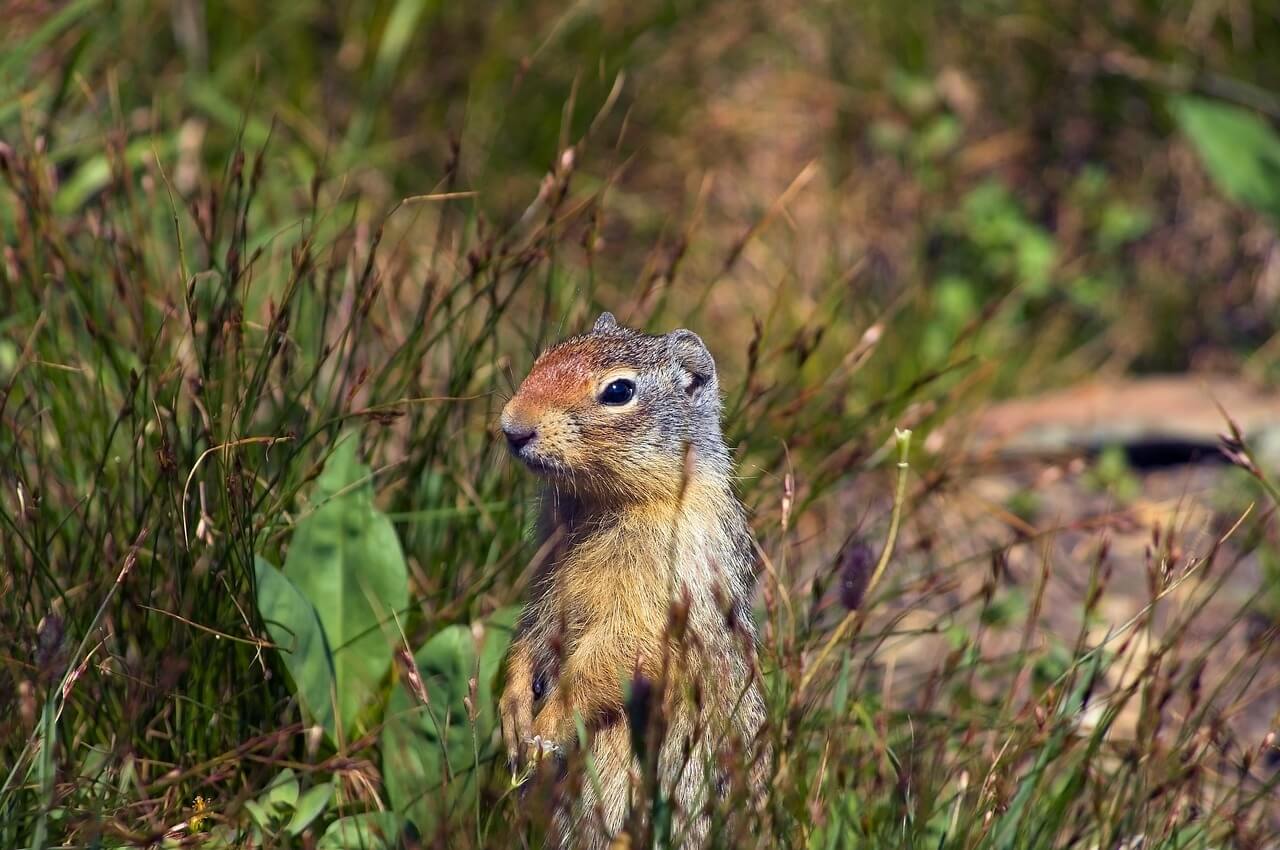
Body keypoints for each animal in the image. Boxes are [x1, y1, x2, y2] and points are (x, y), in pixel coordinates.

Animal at [498, 312, 768, 850]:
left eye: (619, 390)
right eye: (545, 356)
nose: (511, 428)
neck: (598, 503)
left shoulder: (659, 589)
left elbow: (612, 656)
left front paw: (544, 730)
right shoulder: (545, 582)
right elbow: (529, 635)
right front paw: (512, 713)